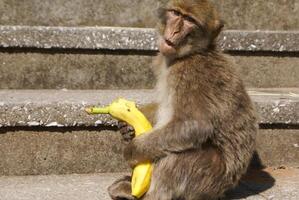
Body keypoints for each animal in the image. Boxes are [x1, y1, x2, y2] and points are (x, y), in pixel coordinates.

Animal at [108, 0, 258, 199]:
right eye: (176, 13)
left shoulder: (190, 73)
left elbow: (194, 125)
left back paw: (148, 195)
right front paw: (128, 126)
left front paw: (131, 150)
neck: (191, 53)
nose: (175, 31)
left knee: (181, 153)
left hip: (208, 179)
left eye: (190, 20)